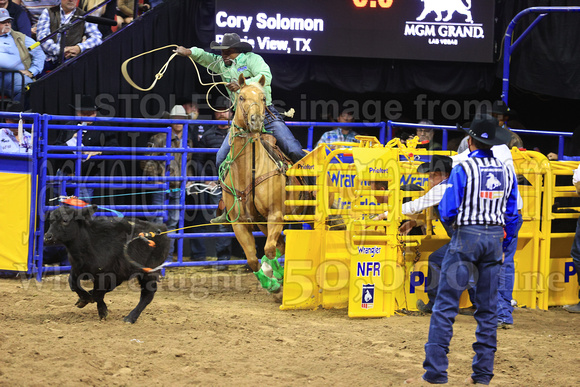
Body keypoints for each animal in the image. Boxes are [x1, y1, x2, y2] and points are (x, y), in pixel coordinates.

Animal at [220, 74, 302, 296]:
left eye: (263, 98)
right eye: (241, 97)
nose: (256, 121)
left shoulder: (276, 215)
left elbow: (269, 249)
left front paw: (276, 277)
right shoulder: (240, 222)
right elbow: (252, 258)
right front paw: (272, 283)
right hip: (262, 223)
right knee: (281, 244)